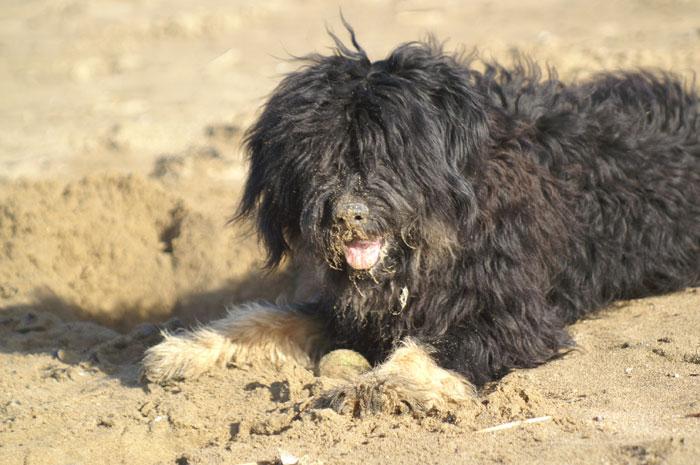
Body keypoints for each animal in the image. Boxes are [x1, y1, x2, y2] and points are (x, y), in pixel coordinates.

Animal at [142, 25, 700, 416]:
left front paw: (375, 385)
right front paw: (188, 348)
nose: (348, 215)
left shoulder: (512, 317)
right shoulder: (357, 309)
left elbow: (434, 347)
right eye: (314, 157)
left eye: (390, 154)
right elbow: (270, 317)